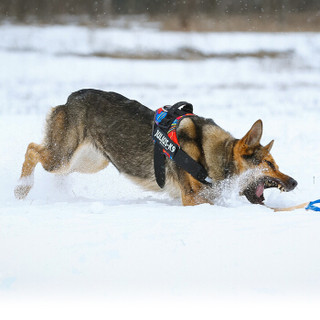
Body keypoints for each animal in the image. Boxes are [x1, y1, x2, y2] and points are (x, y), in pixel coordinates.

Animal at [13, 89, 296, 206]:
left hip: (90, 161)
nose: (294, 182)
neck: (211, 154)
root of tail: (71, 98)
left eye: (276, 164)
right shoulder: (192, 198)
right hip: (63, 158)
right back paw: (21, 188)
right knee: (32, 148)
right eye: (269, 164)